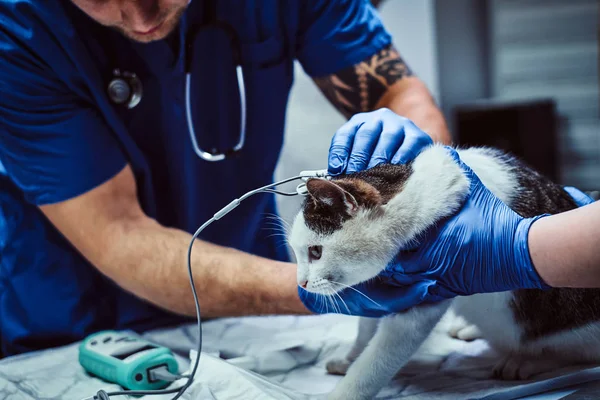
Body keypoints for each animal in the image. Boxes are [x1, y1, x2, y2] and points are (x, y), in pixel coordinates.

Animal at [288, 144, 596, 400]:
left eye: (316, 252)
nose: (301, 283)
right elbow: (365, 329)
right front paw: (351, 356)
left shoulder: (426, 298)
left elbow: (374, 364)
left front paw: (345, 388)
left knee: (575, 354)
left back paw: (525, 360)